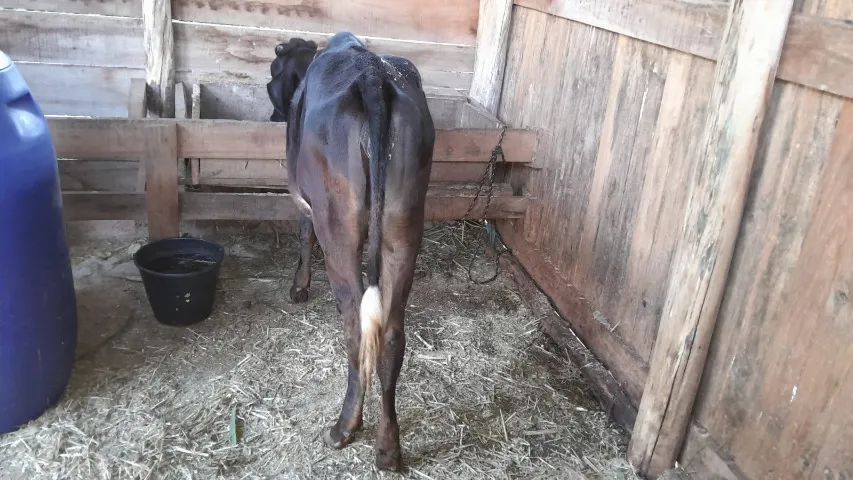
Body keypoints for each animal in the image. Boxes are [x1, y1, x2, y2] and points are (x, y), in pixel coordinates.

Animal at [266, 33, 435, 471]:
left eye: (272, 75)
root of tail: (373, 76)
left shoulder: (305, 202)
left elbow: (303, 235)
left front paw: (299, 287)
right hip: (404, 225)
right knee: (391, 335)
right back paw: (388, 449)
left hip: (338, 227)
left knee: (357, 328)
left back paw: (344, 427)